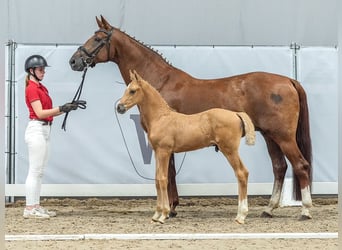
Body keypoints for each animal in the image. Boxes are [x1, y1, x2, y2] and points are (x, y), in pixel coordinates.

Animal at [116, 69, 255, 224]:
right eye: (126, 89)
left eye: (133, 91)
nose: (119, 107)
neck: (161, 117)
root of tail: (236, 114)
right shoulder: (158, 152)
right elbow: (157, 180)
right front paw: (156, 214)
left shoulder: (164, 152)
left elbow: (163, 179)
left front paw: (163, 215)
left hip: (230, 150)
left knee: (241, 173)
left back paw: (241, 216)